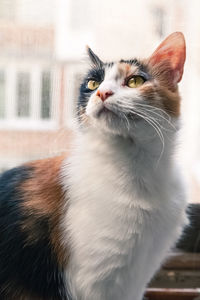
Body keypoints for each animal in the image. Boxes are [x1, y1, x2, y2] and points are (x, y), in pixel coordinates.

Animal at [0, 32, 188, 300]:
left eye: (135, 81)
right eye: (92, 84)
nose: (103, 93)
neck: (136, 166)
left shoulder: (136, 279)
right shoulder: (95, 282)